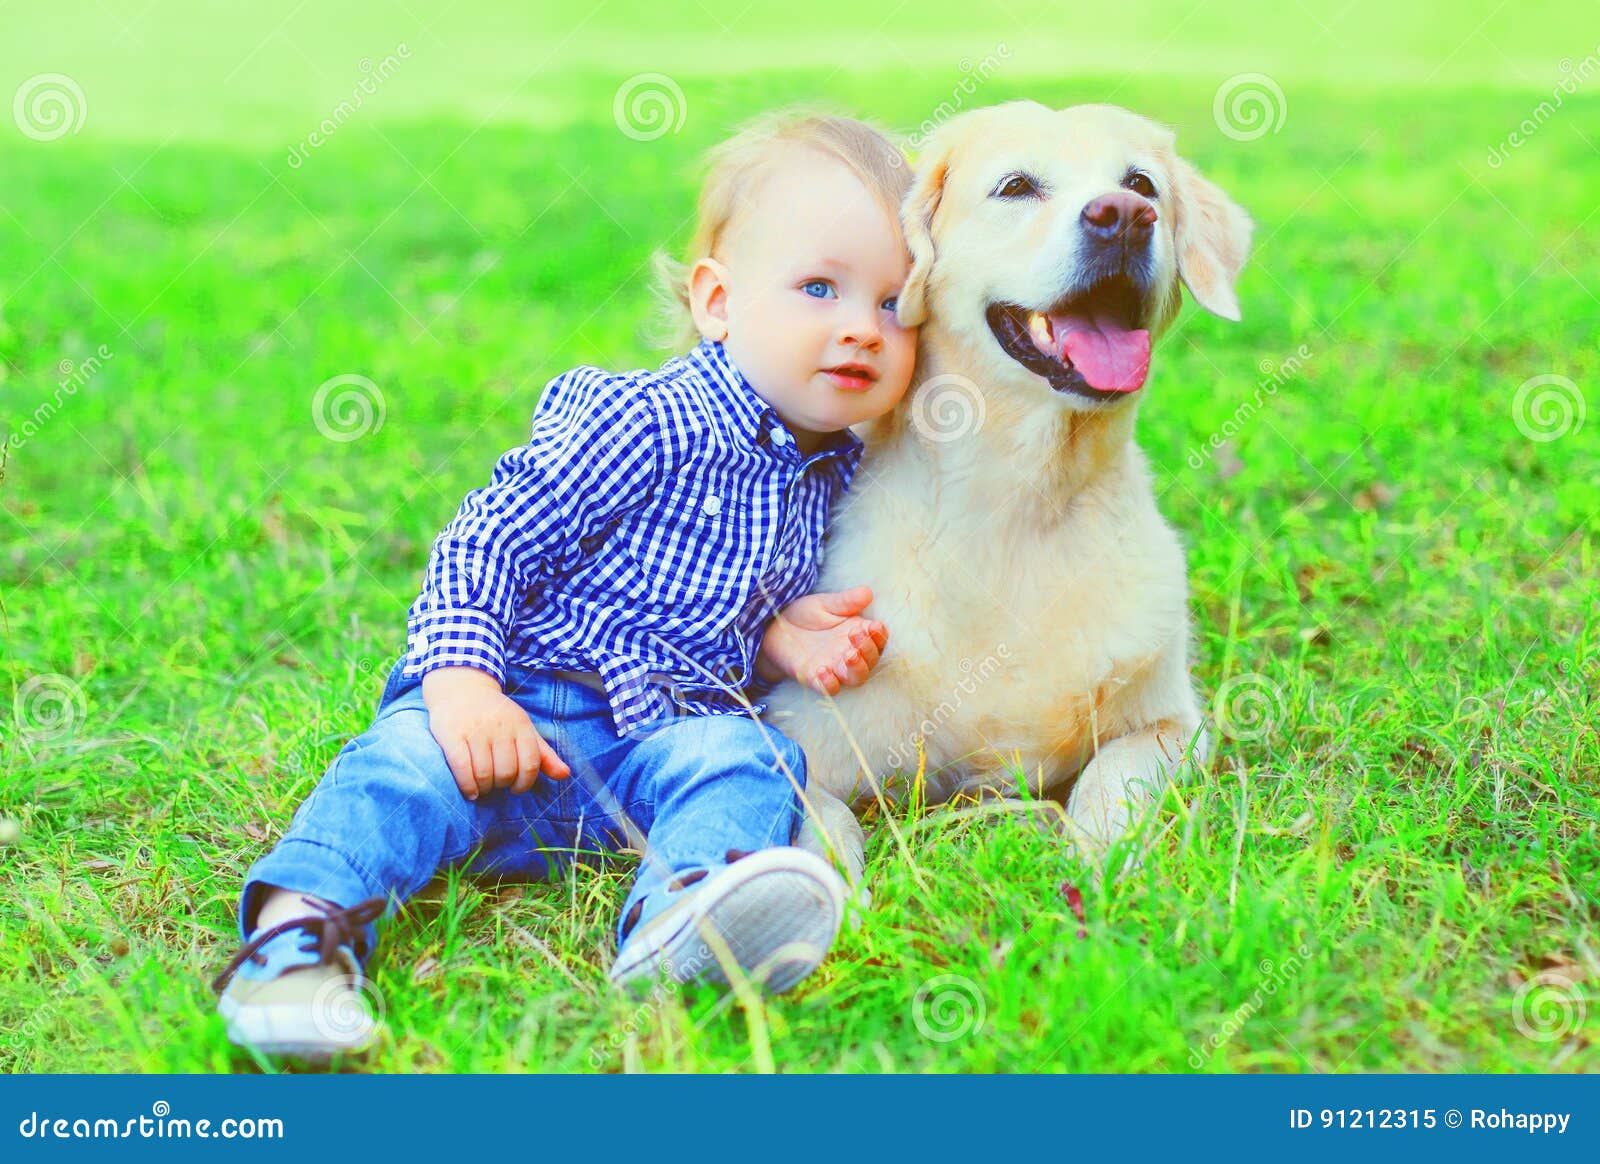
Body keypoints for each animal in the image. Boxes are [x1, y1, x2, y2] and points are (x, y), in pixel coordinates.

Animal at [761, 102, 1248, 882]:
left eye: (1142, 183)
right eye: (1016, 187)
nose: (1124, 216)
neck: (1023, 504)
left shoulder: (1175, 725)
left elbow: (1112, 775)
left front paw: (1096, 866)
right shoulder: (801, 734)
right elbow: (817, 825)